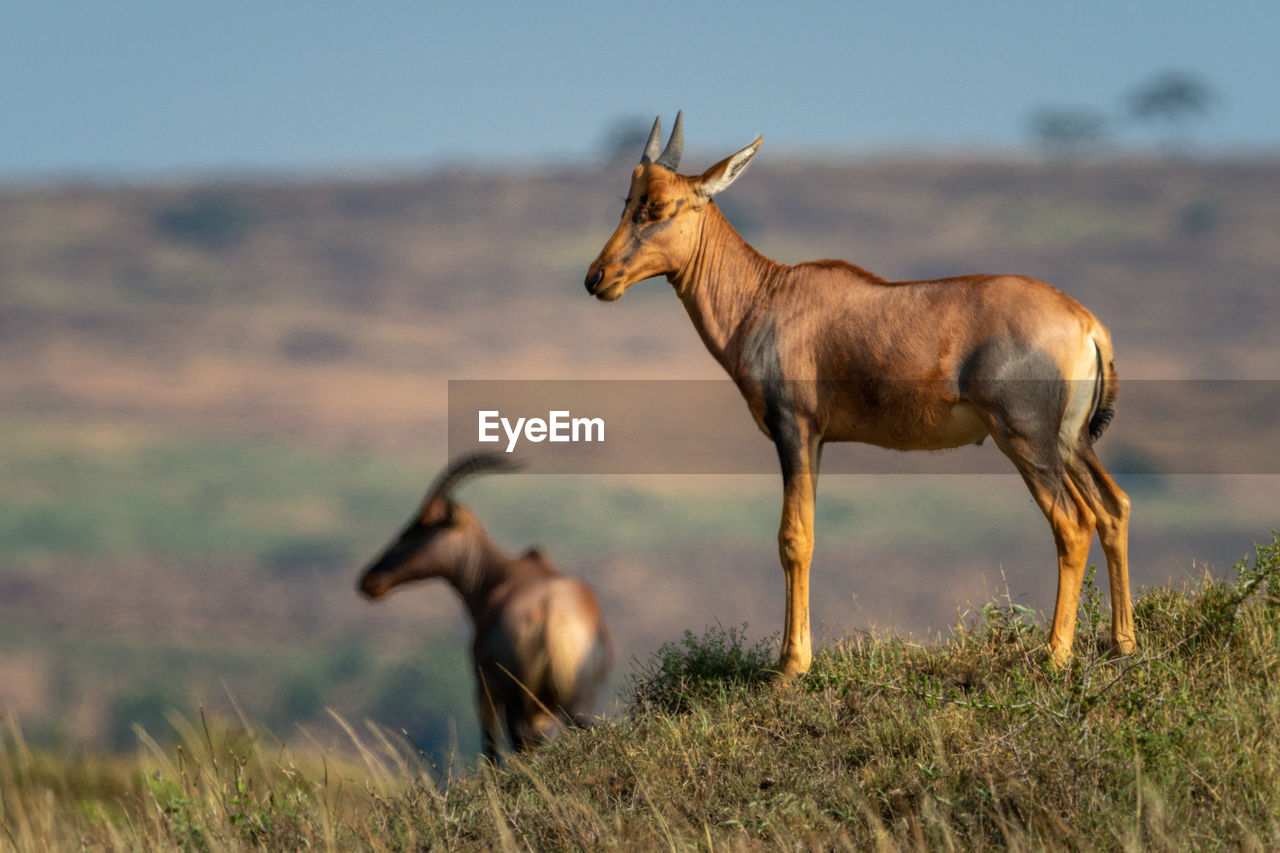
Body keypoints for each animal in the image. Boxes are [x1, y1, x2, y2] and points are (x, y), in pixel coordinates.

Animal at [355, 450, 614, 758]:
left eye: (423, 523)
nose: (370, 580)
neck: (504, 575)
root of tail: (550, 613)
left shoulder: (484, 689)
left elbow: (489, 747)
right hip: (574, 699)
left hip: (517, 700)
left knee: (518, 743)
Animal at [586, 112, 1136, 676]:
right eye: (627, 200)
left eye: (658, 206)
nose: (597, 278)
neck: (769, 295)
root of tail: (1086, 323)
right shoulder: (818, 439)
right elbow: (806, 532)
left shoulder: (793, 428)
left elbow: (793, 538)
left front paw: (790, 667)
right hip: (1069, 441)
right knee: (1113, 508)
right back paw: (1123, 644)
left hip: (1025, 438)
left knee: (1073, 523)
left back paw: (1054, 655)